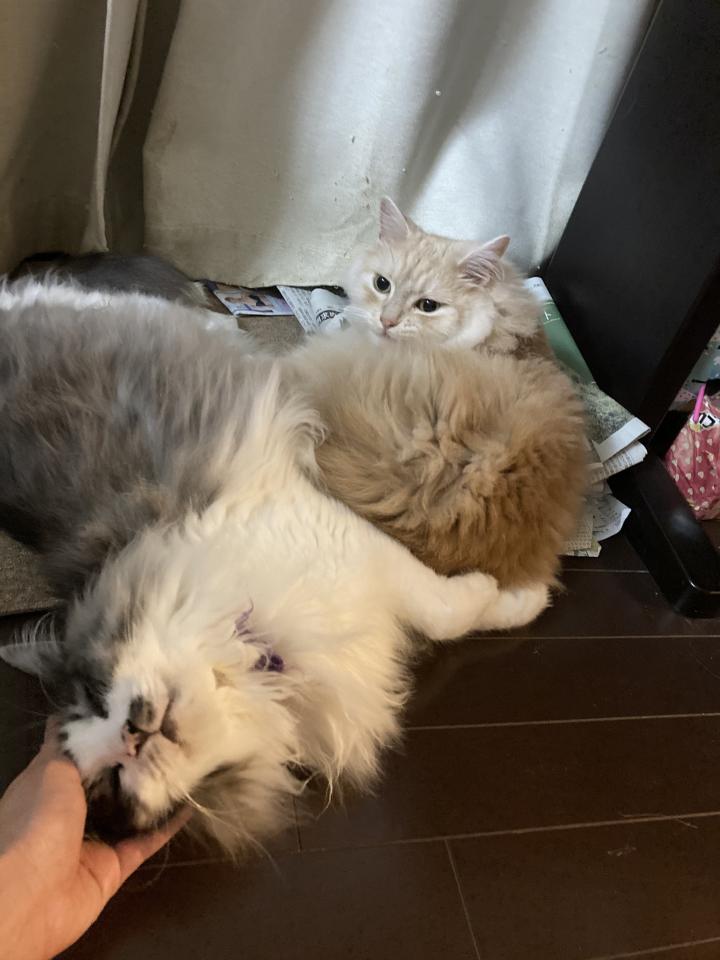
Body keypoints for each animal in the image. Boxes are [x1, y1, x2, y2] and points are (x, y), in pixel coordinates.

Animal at [0, 278, 548, 853]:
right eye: (112, 782)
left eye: (99, 692)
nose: (131, 732)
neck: (258, 655)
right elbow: (453, 612)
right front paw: (519, 594)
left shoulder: (335, 532)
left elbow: (449, 609)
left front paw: (525, 594)